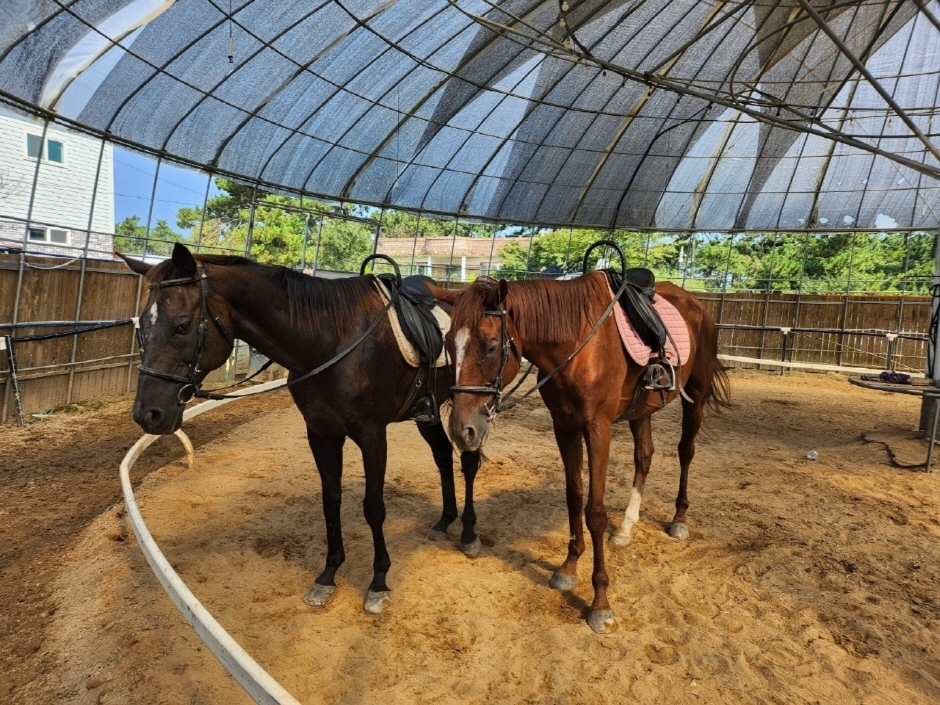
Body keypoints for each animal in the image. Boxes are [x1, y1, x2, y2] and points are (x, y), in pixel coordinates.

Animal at [119, 243, 479, 615]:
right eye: (142, 327)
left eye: (182, 326)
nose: (147, 414)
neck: (331, 341)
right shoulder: (321, 433)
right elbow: (330, 500)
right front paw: (329, 575)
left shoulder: (372, 436)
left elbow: (374, 508)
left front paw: (378, 582)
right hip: (429, 415)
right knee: (443, 457)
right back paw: (444, 522)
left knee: (468, 462)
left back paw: (468, 534)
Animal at [446, 272, 729, 633]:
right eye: (448, 343)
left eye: (492, 346)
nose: (461, 431)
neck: (575, 344)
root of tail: (696, 304)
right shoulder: (565, 428)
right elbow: (573, 497)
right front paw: (568, 569)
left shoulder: (598, 430)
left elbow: (595, 512)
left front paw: (600, 603)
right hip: (642, 410)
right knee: (644, 456)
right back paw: (625, 528)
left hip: (696, 393)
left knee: (686, 451)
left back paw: (679, 519)